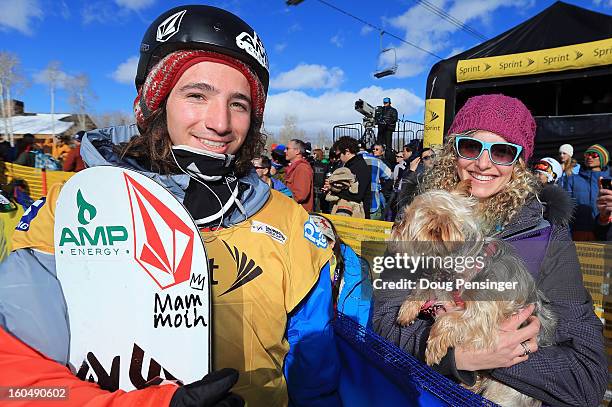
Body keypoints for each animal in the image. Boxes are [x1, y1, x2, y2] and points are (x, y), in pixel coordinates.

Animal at [392, 186, 556, 407]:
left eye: (405, 224)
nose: (395, 222)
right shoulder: (442, 283)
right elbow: (424, 285)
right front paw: (407, 311)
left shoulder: (483, 315)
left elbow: (447, 319)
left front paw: (433, 345)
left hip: (504, 394)